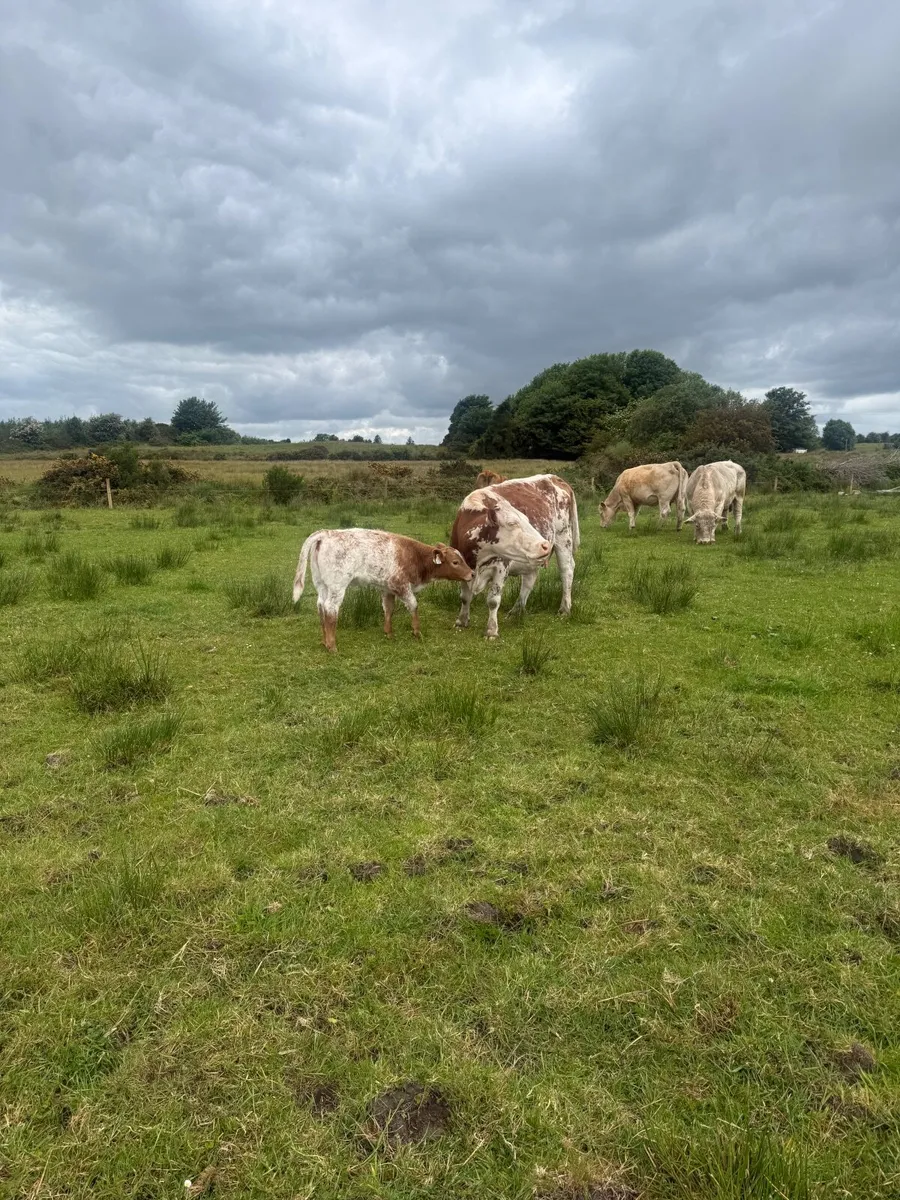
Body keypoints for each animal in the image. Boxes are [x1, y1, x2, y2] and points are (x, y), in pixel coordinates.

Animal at [292, 529, 473, 651]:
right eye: (455, 562)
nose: (472, 573)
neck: (414, 555)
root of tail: (325, 533)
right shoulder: (401, 585)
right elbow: (413, 605)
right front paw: (417, 632)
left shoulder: (388, 588)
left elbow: (388, 609)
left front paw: (389, 633)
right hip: (337, 586)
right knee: (330, 609)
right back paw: (332, 645)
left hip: (321, 584)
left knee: (320, 606)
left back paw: (324, 641)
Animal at [450, 474, 579, 639]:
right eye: (512, 523)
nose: (544, 545)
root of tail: (553, 477)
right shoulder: (464, 568)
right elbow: (465, 597)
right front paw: (461, 621)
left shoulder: (501, 568)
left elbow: (493, 600)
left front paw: (491, 630)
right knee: (529, 580)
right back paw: (516, 610)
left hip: (564, 537)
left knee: (567, 570)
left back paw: (564, 608)